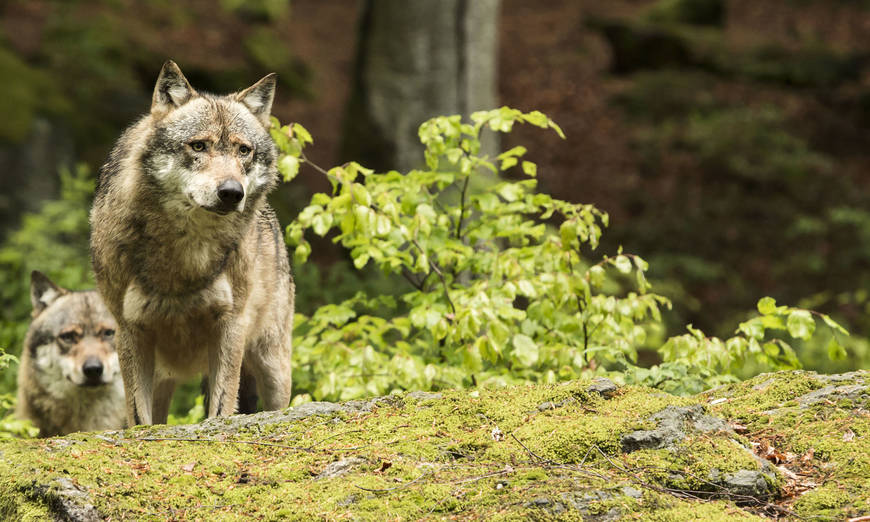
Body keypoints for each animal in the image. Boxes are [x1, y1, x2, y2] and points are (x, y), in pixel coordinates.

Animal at [90, 61, 294, 426]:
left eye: (243, 150)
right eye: (198, 146)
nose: (232, 192)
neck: (185, 253)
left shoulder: (231, 324)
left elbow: (221, 406)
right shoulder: (130, 330)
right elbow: (138, 417)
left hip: (272, 365)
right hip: (163, 376)